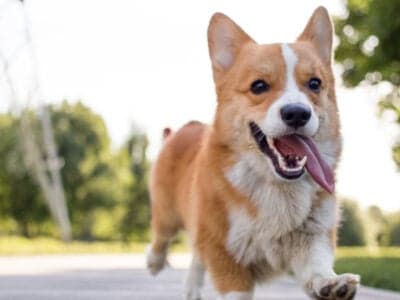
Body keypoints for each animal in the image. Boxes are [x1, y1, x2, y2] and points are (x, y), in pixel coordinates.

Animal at [147, 6, 360, 300]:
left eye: (315, 84)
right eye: (258, 86)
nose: (297, 113)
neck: (277, 186)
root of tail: (187, 126)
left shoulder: (312, 236)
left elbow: (317, 268)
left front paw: (332, 284)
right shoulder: (224, 252)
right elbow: (233, 288)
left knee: (196, 257)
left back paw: (191, 289)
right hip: (168, 212)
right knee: (162, 235)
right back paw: (154, 262)